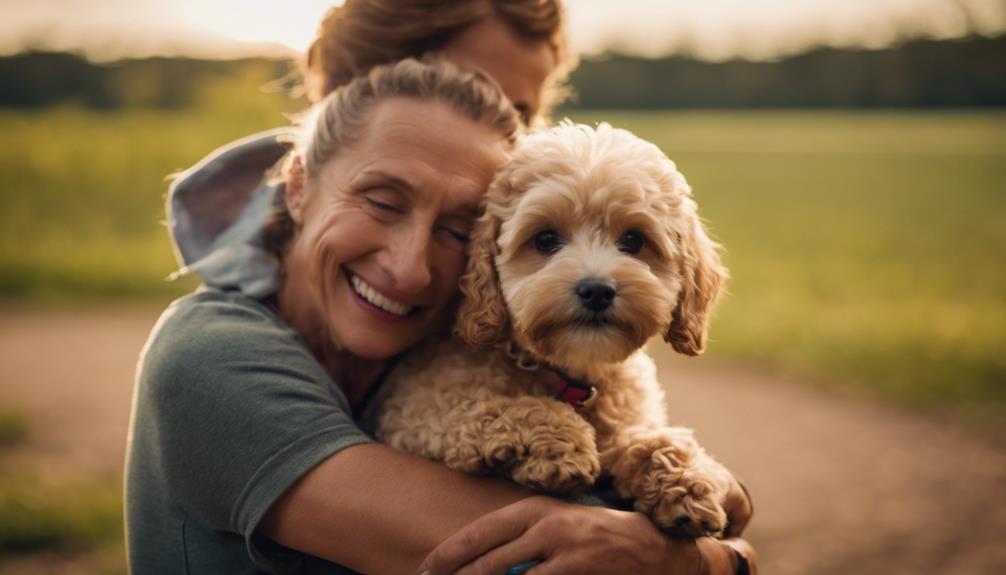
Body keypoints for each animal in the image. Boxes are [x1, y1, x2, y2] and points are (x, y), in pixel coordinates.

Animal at [378, 122, 740, 538]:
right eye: (546, 239)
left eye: (634, 240)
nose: (596, 290)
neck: (572, 373)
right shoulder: (413, 411)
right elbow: (490, 407)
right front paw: (559, 443)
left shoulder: (629, 418)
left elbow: (650, 439)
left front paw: (685, 483)